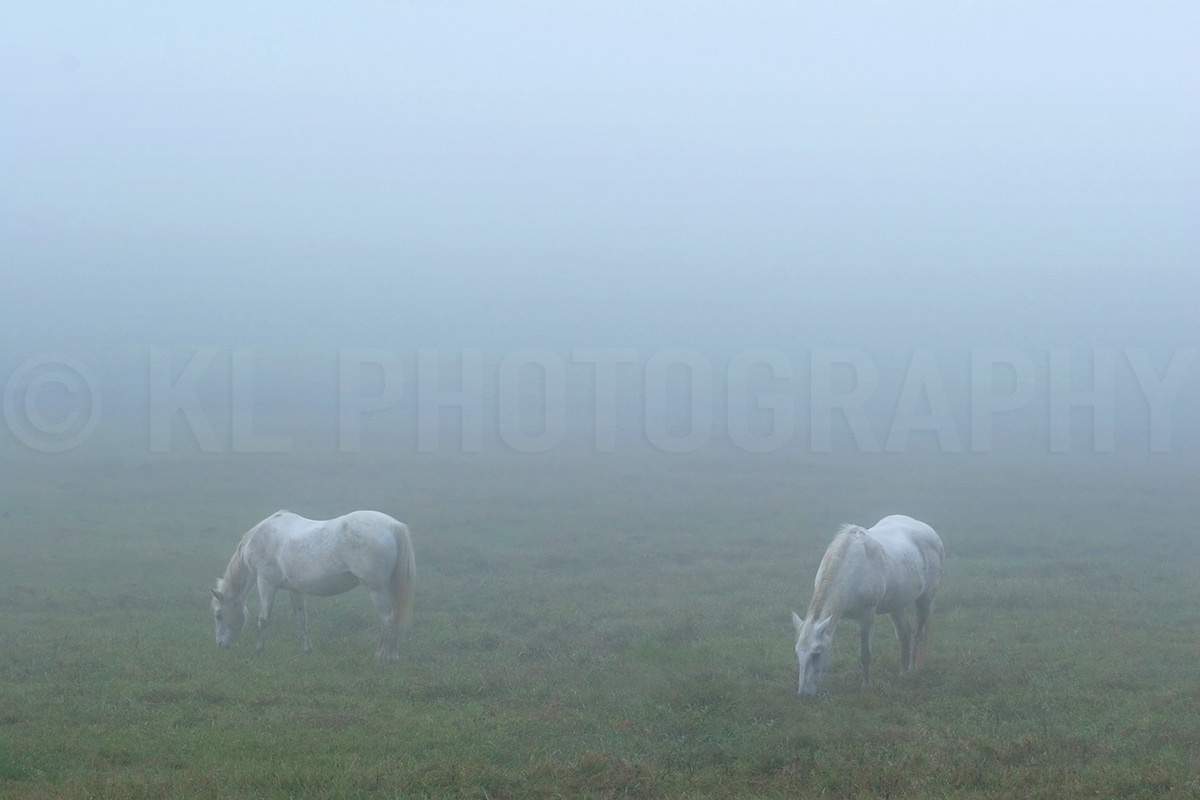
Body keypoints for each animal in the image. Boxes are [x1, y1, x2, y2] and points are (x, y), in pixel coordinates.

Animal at [210, 510, 416, 660]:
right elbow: (302, 620)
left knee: (388, 619)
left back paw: (382, 655)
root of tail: (392, 525)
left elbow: (263, 619)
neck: (260, 538)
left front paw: (259, 650)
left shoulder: (266, 584)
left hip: (376, 590)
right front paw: (307, 650)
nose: (220, 644)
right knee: (393, 619)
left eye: (219, 615)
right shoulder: (295, 590)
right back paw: (392, 655)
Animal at [792, 514, 943, 696]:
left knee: (917, 635)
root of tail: (931, 532)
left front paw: (866, 686)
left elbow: (865, 654)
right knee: (904, 635)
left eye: (816, 654)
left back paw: (912, 669)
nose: (803, 694)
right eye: (798, 653)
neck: (852, 566)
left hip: (925, 599)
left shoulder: (867, 615)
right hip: (896, 605)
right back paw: (902, 673)